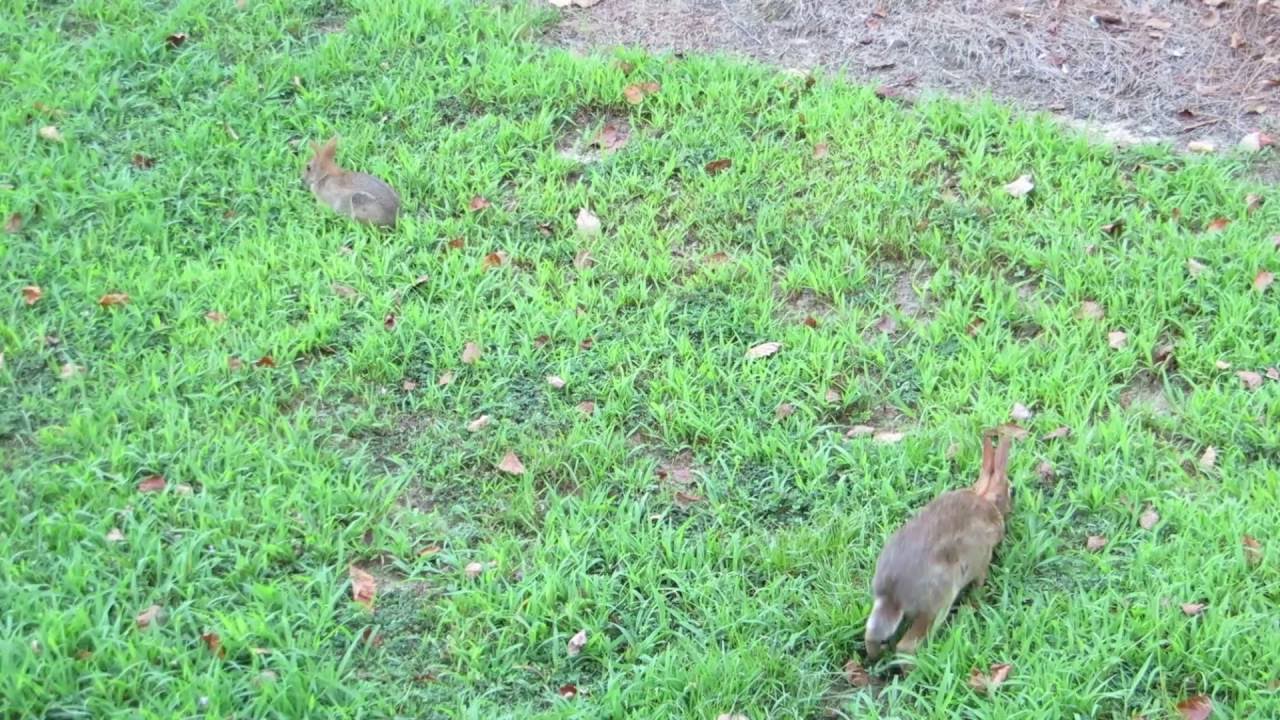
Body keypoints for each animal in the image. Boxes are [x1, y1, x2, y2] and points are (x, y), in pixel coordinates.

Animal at [864, 429, 1014, 661]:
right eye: (1011, 491)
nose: (1012, 507)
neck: (985, 497)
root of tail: (893, 593)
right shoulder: (982, 560)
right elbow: (980, 580)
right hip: (939, 602)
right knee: (907, 647)